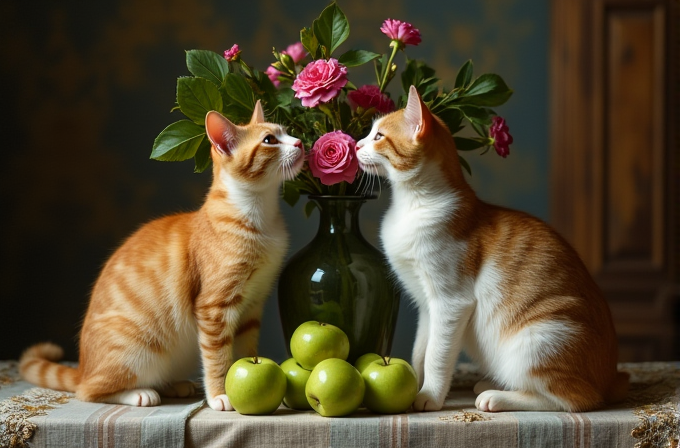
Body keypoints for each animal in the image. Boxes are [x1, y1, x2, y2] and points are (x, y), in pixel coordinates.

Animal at [19, 103, 304, 412]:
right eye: (269, 140)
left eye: (287, 132)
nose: (300, 142)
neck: (259, 215)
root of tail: (82, 367)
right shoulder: (214, 307)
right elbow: (217, 358)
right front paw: (219, 394)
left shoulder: (252, 306)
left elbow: (244, 353)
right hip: (133, 350)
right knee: (89, 391)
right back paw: (139, 393)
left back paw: (175, 386)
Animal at [356, 86, 628, 412]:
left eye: (378, 136)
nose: (355, 144)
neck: (413, 203)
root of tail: (610, 379)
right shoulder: (426, 306)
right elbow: (420, 351)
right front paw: (415, 384)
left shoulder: (450, 302)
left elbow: (436, 355)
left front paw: (429, 395)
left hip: (539, 339)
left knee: (573, 399)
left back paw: (497, 396)